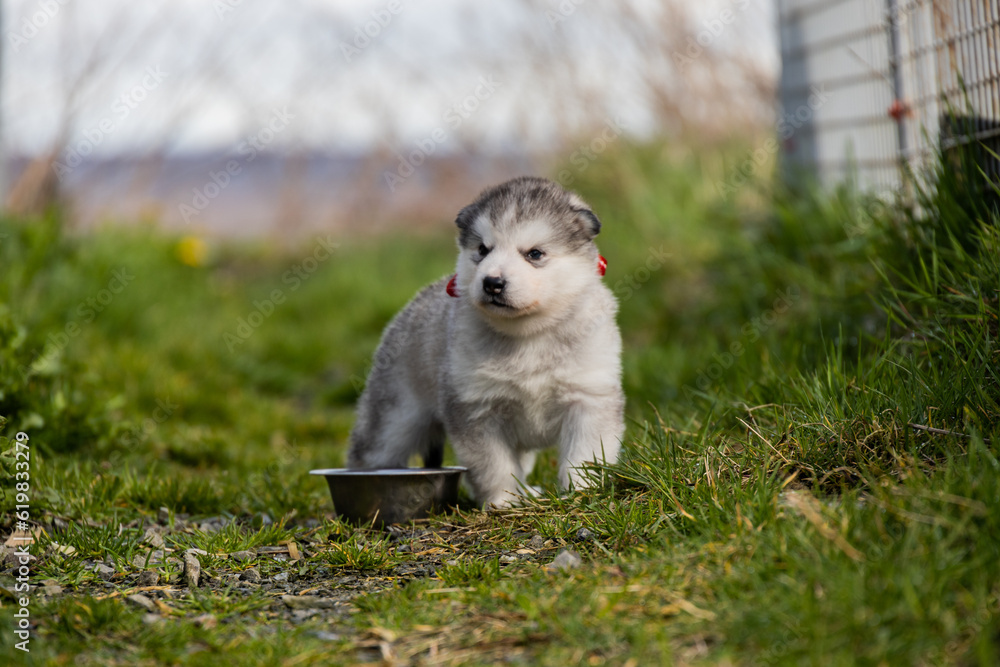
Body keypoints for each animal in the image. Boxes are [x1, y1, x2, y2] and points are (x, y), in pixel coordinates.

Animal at [348, 176, 620, 506]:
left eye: (534, 254)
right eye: (482, 249)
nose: (492, 282)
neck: (529, 334)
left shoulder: (589, 398)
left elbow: (584, 455)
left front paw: (581, 493)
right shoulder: (477, 407)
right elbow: (494, 464)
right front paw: (504, 500)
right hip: (394, 417)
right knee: (373, 449)